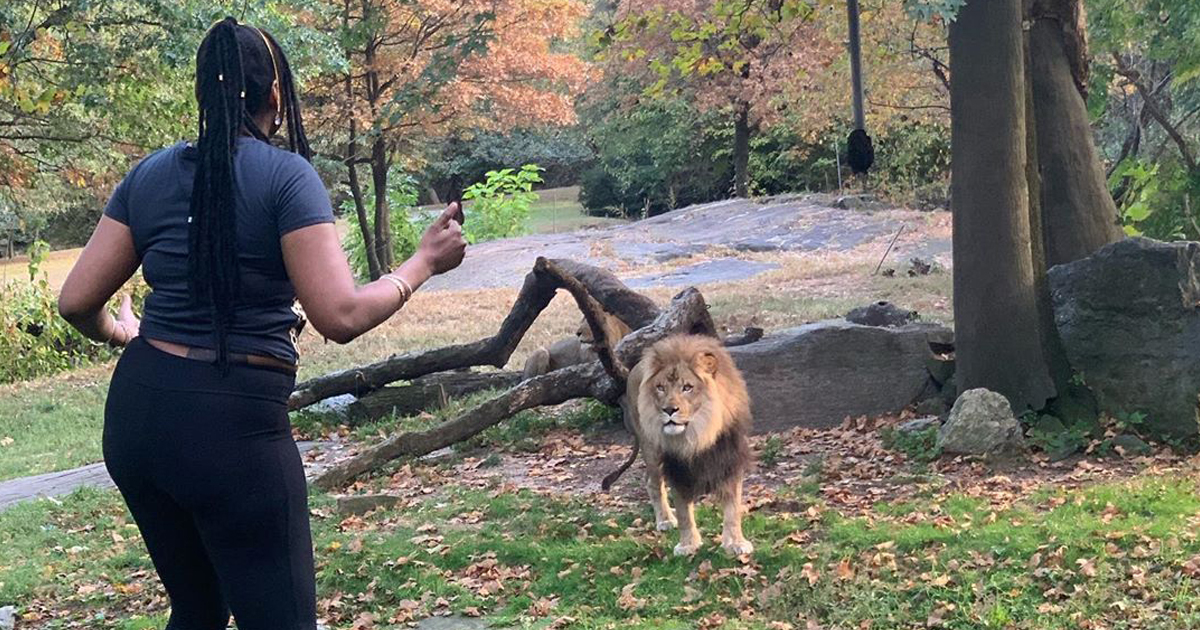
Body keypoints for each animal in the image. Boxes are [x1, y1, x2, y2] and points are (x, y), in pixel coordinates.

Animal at [609, 333, 748, 554]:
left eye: (687, 387)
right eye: (660, 388)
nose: (668, 410)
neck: (699, 433)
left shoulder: (731, 460)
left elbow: (733, 508)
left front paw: (736, 543)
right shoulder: (676, 468)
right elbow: (684, 512)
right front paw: (688, 545)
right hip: (651, 449)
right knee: (652, 482)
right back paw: (665, 520)